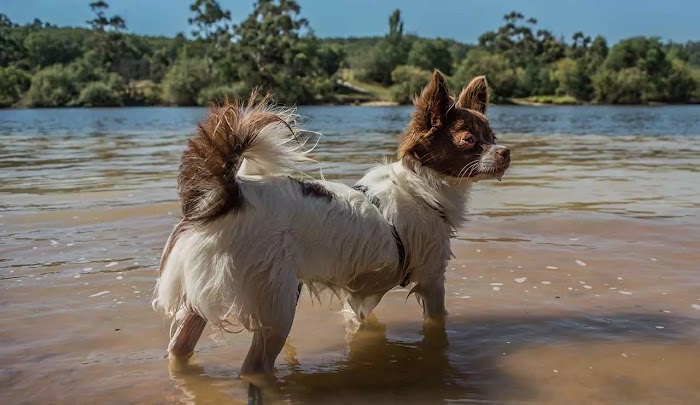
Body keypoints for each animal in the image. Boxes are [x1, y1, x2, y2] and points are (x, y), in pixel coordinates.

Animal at [154, 70, 508, 376]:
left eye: (492, 137)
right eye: (469, 139)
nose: (505, 152)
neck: (421, 188)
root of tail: (230, 196)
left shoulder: (362, 293)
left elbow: (359, 319)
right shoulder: (432, 280)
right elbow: (437, 320)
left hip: (202, 298)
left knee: (178, 348)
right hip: (278, 305)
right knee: (254, 368)